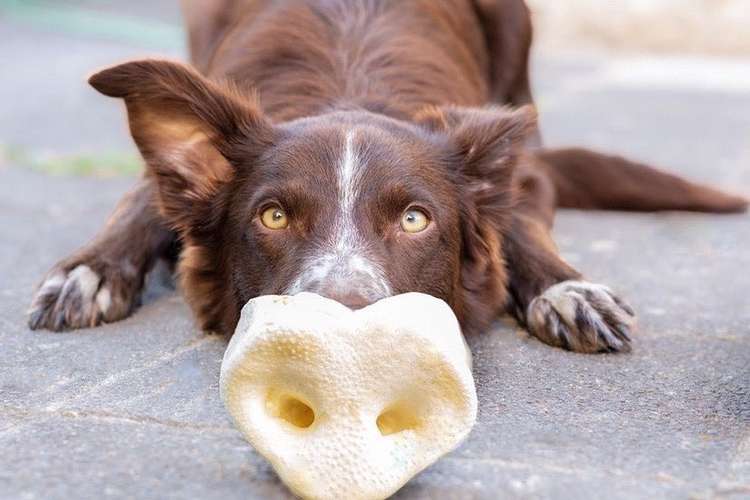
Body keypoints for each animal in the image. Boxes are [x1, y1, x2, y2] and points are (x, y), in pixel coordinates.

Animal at [27, 0, 748, 354]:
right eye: (274, 216)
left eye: (414, 219)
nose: (342, 326)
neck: (348, 87)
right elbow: (140, 200)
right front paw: (89, 271)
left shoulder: (522, 176)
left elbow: (521, 224)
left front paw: (567, 290)